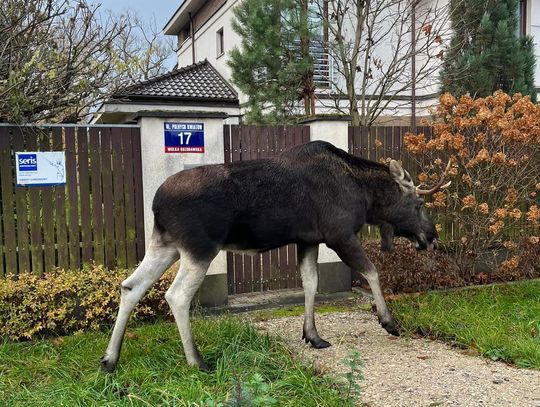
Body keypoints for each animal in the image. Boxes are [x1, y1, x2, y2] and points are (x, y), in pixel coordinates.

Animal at [100, 140, 448, 372]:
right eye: (419, 203)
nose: (432, 237)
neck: (367, 198)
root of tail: (156, 203)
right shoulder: (340, 235)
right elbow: (372, 271)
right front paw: (387, 321)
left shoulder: (307, 240)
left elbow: (310, 283)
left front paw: (313, 336)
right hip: (199, 248)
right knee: (177, 296)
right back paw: (197, 361)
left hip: (165, 245)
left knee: (130, 286)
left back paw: (110, 360)